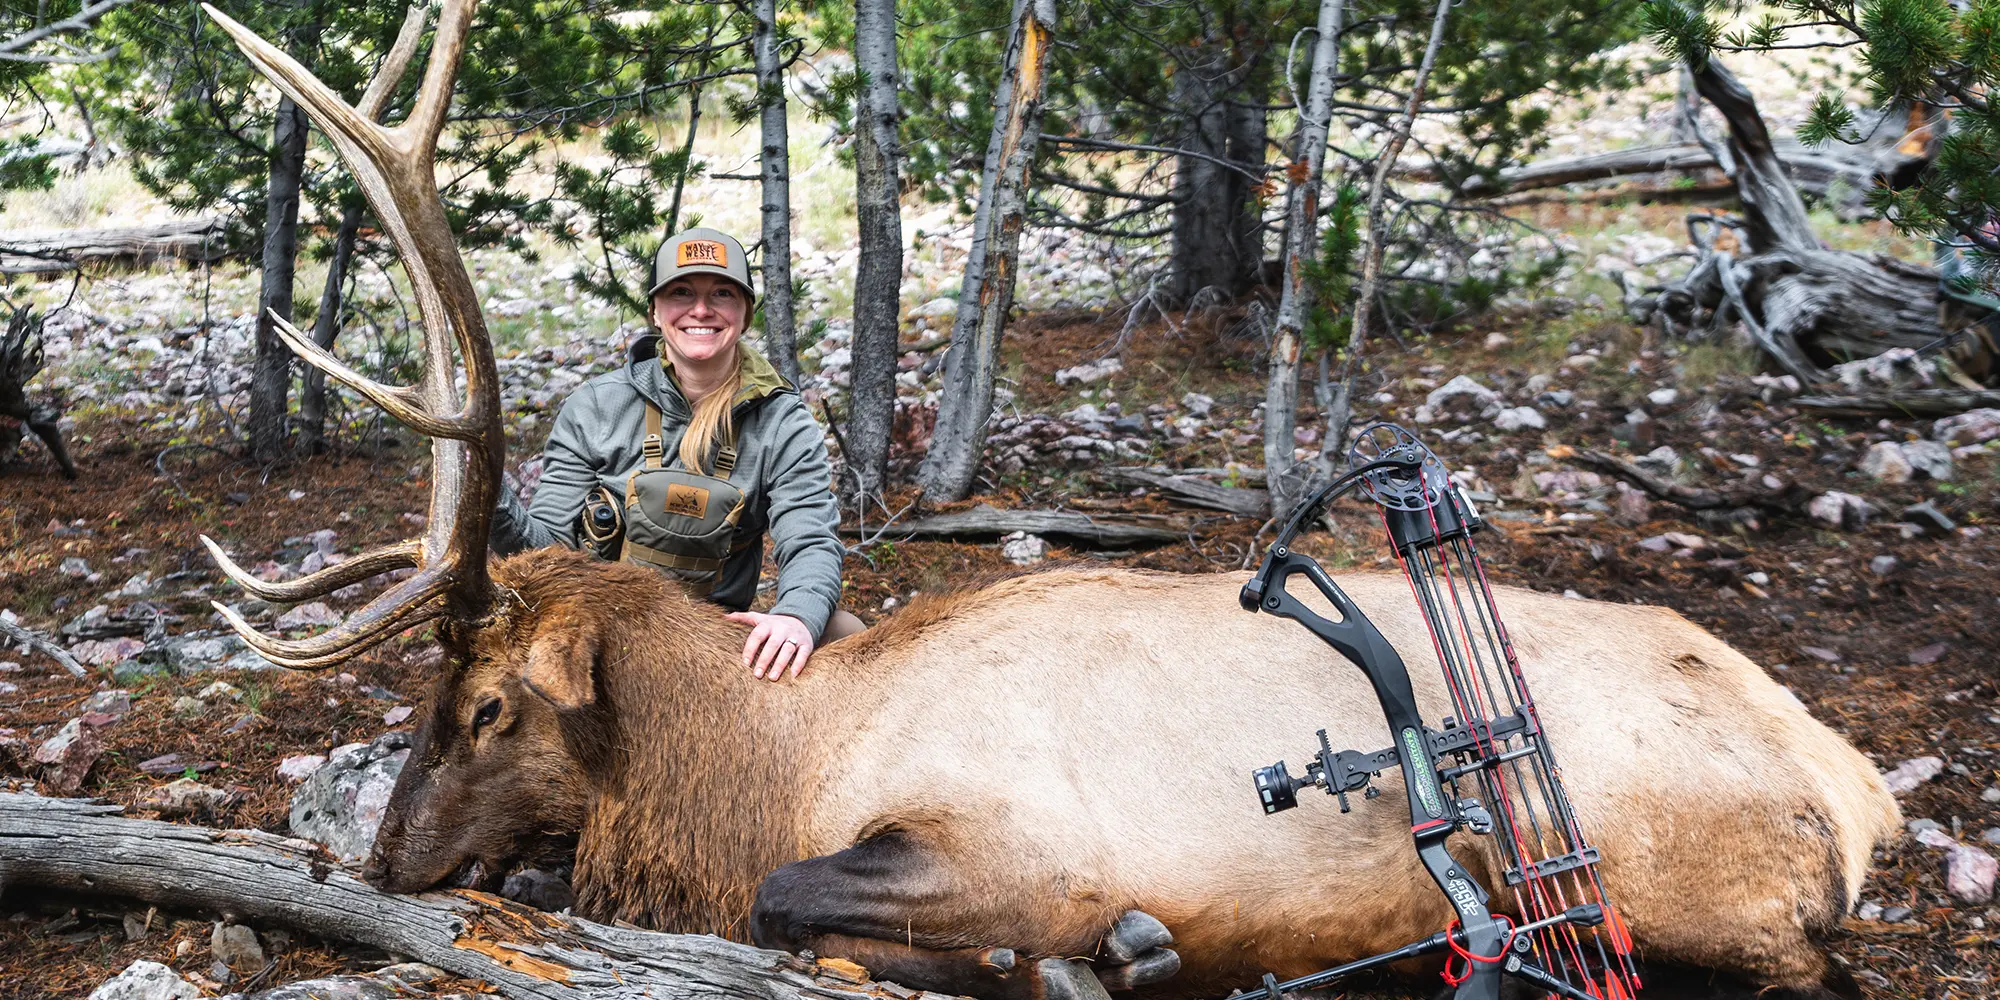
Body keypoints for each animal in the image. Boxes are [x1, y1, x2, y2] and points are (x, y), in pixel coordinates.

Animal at [199, 3, 1888, 996]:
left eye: (485, 703)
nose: (382, 861)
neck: (756, 766)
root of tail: (1861, 786)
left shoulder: (1012, 840)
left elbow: (797, 898)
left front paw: (1101, 953)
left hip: (1717, 894)